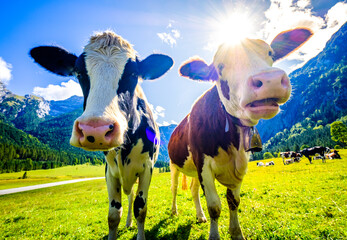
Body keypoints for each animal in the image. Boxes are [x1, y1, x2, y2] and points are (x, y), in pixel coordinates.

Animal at [30, 30, 174, 240]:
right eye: (79, 73)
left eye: (133, 74)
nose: (95, 130)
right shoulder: (109, 171)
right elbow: (113, 214)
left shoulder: (147, 167)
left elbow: (141, 209)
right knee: (129, 195)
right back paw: (128, 222)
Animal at [169, 27, 312, 239]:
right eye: (219, 67)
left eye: (271, 53)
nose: (270, 80)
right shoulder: (203, 164)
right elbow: (214, 206)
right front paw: (214, 235)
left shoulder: (240, 164)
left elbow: (233, 202)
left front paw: (236, 233)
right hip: (174, 165)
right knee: (174, 188)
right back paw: (174, 211)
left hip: (193, 168)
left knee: (194, 191)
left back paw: (200, 216)